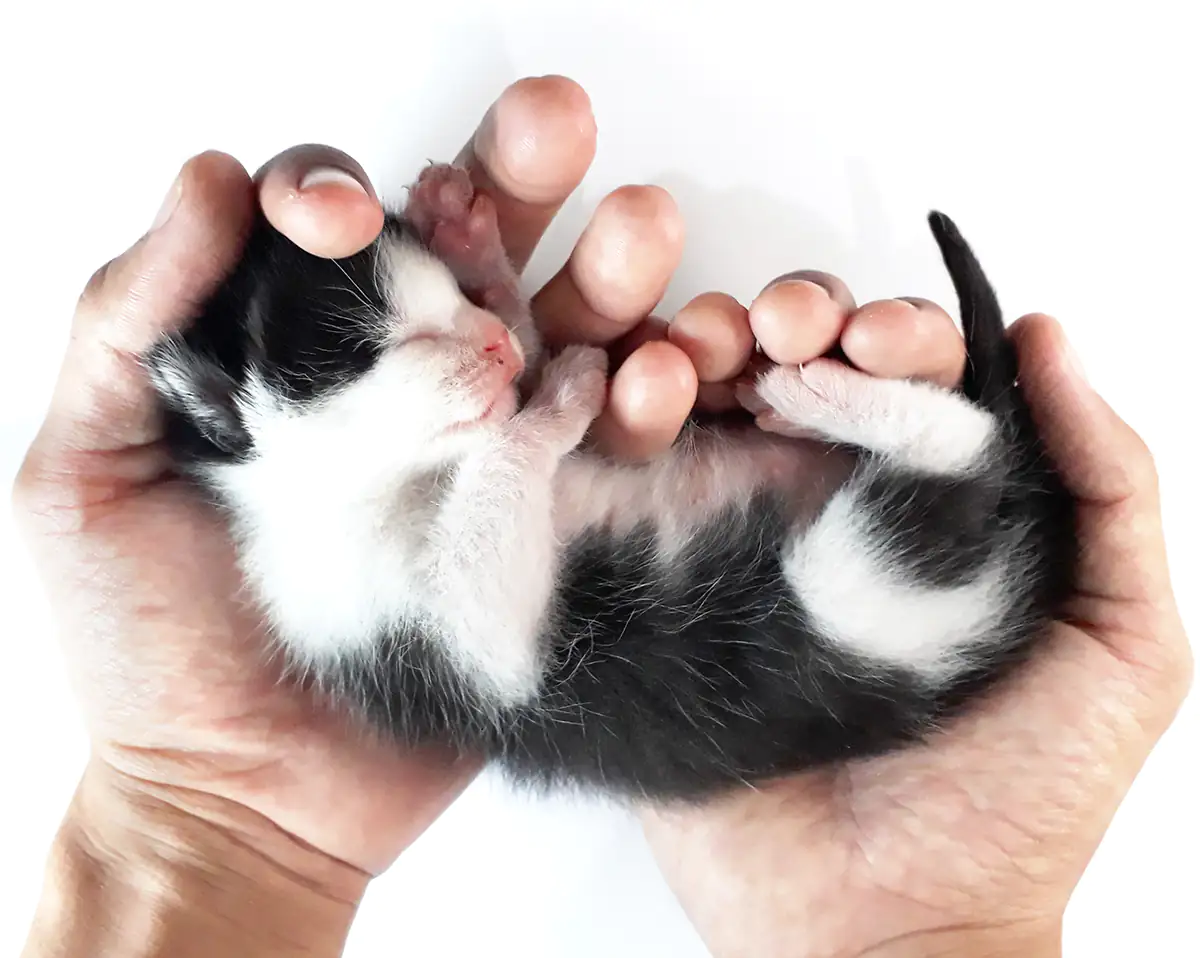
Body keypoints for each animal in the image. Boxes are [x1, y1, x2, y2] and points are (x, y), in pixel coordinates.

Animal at [145, 165, 1075, 801]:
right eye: (376, 347)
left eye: (452, 305)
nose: (488, 345)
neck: (392, 490)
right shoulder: (473, 651)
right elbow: (495, 489)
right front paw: (554, 403)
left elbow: (526, 359)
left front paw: (475, 250)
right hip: (856, 588)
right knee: (961, 449)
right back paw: (808, 396)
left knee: (970, 441)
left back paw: (807, 404)